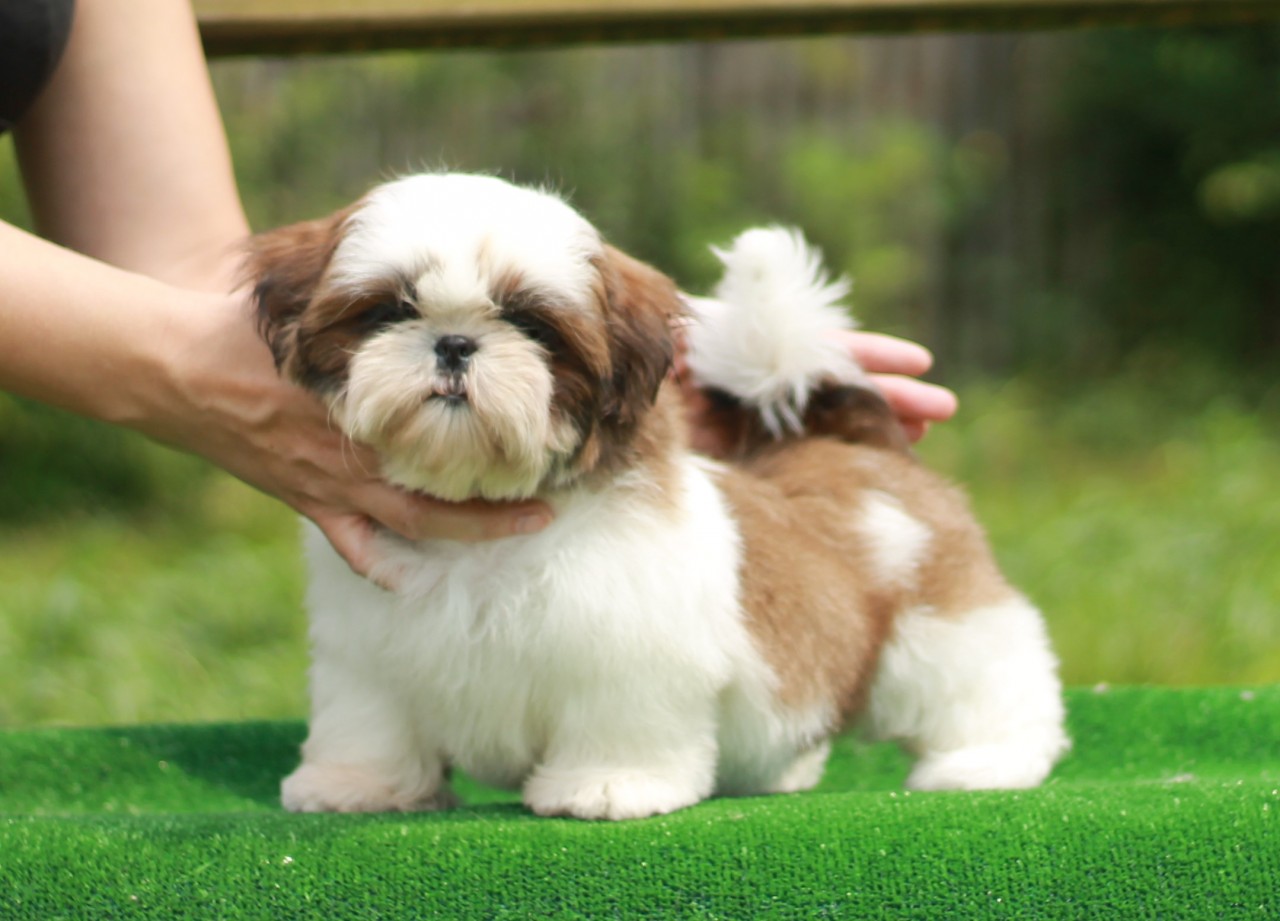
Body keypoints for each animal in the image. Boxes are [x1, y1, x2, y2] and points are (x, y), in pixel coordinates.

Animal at [249, 173, 1070, 818]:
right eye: (390, 311)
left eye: (531, 324)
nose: (453, 344)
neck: (480, 514)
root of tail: (847, 440)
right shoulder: (366, 648)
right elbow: (371, 717)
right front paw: (357, 785)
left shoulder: (629, 647)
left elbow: (620, 716)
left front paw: (608, 786)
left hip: (937, 619)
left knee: (983, 677)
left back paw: (987, 760)